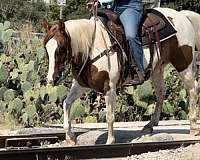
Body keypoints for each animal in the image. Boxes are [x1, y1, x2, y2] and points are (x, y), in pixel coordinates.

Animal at [43, 7, 199, 145]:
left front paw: (110, 141)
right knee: (161, 93)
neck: (93, 48)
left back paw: (193, 127)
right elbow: (66, 103)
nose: (52, 79)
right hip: (157, 69)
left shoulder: (109, 87)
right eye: (45, 48)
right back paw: (150, 124)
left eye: (61, 48)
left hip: (183, 64)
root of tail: (182, 15)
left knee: (192, 89)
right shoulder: (82, 85)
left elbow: (109, 116)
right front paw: (70, 138)